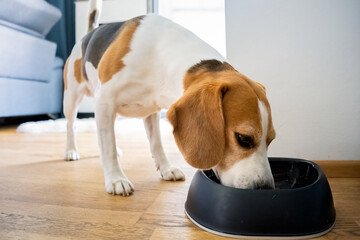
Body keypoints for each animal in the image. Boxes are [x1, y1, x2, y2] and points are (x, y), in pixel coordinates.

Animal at [63, 0, 276, 195]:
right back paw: (71, 150)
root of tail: (87, 34)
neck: (158, 58)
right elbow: (107, 148)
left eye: (271, 140)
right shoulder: (105, 101)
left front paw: (166, 169)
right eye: (243, 139)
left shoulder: (151, 111)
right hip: (72, 98)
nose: (265, 188)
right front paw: (116, 179)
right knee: (72, 126)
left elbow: (156, 144)